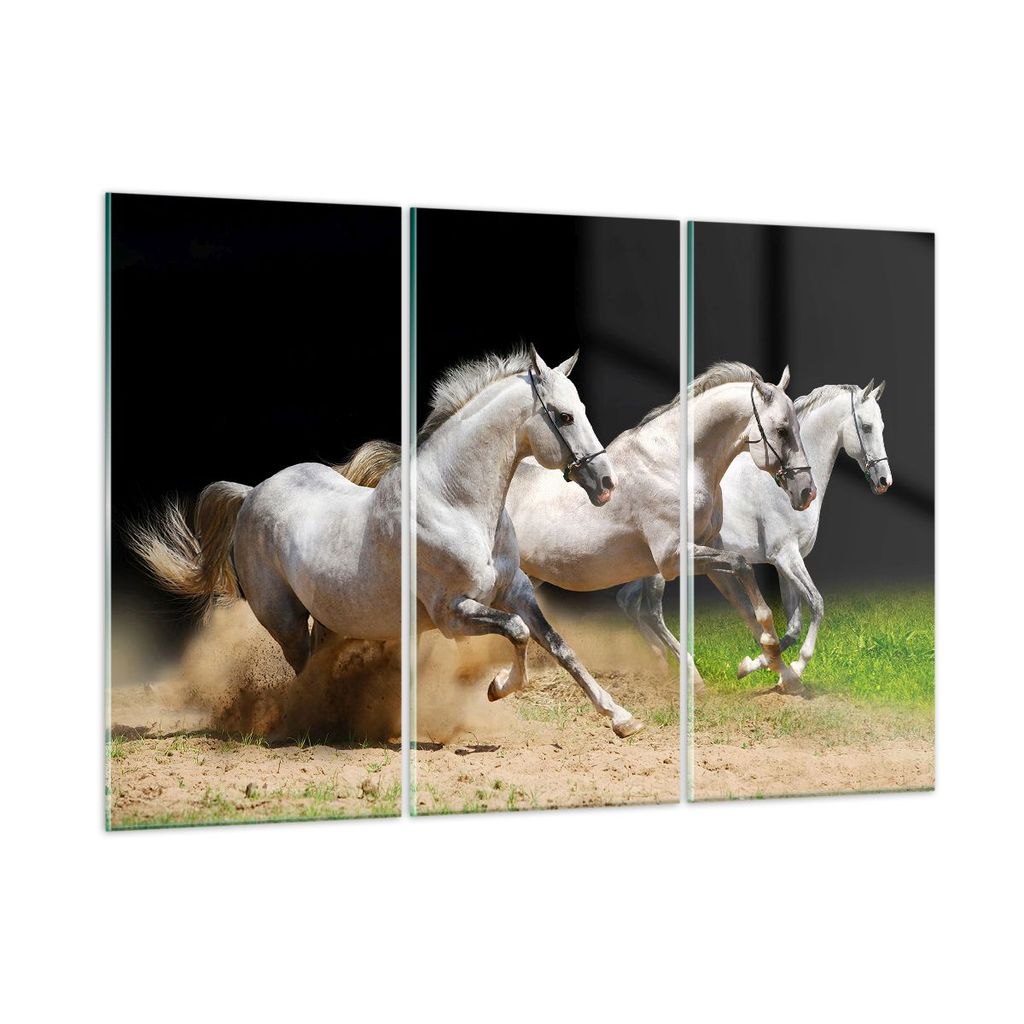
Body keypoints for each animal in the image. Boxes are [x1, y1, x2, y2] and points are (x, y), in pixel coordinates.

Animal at [130, 344, 644, 738]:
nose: (606, 484)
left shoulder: (514, 591)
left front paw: (622, 718)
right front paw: (498, 687)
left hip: (332, 620)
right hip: (285, 620)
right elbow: (517, 634)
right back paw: (314, 725)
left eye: (582, 410)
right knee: (302, 670)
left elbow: (558, 645)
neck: (455, 502)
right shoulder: (453, 613)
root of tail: (252, 493)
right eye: (564, 415)